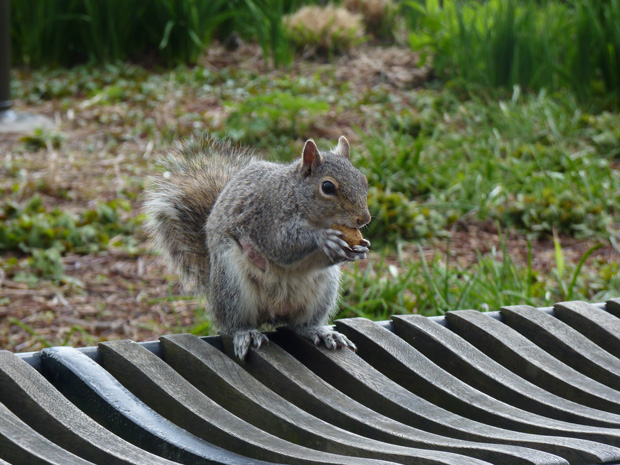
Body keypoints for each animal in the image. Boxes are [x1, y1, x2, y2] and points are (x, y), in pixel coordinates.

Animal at [143, 134, 370, 358]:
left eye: (363, 180)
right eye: (327, 187)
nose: (364, 219)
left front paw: (360, 249)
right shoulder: (267, 218)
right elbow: (282, 246)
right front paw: (324, 239)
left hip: (323, 289)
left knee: (300, 325)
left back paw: (320, 332)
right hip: (231, 282)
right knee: (234, 323)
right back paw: (246, 333)